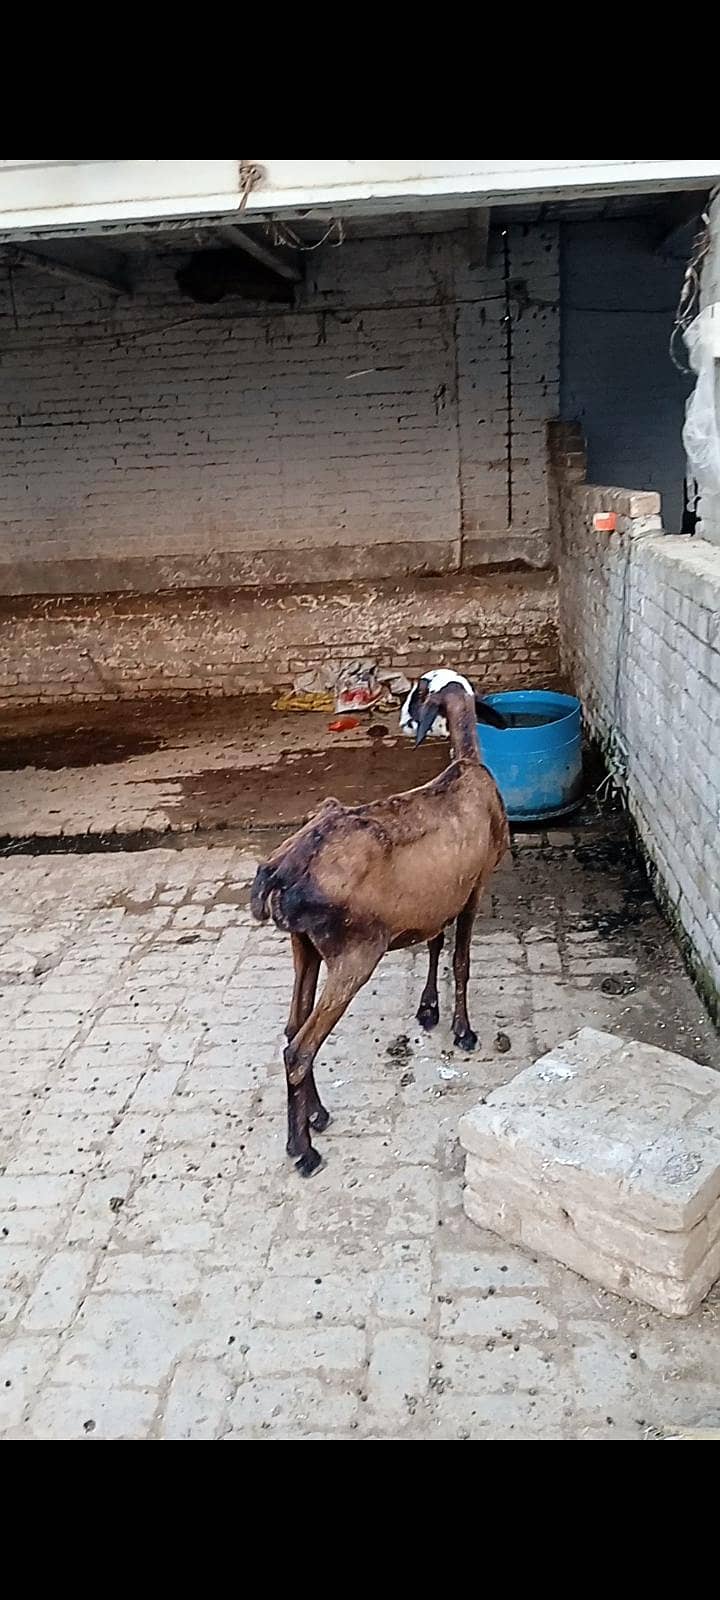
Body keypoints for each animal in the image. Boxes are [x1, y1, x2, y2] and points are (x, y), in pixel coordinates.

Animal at [251, 670, 509, 1176]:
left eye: (420, 693)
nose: (405, 722)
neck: (467, 766)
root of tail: (282, 870)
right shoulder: (475, 888)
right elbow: (462, 961)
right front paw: (464, 1031)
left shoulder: (435, 900)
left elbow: (435, 944)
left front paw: (428, 1010)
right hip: (354, 953)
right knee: (300, 1048)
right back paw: (303, 1150)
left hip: (304, 946)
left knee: (292, 1029)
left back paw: (316, 1114)